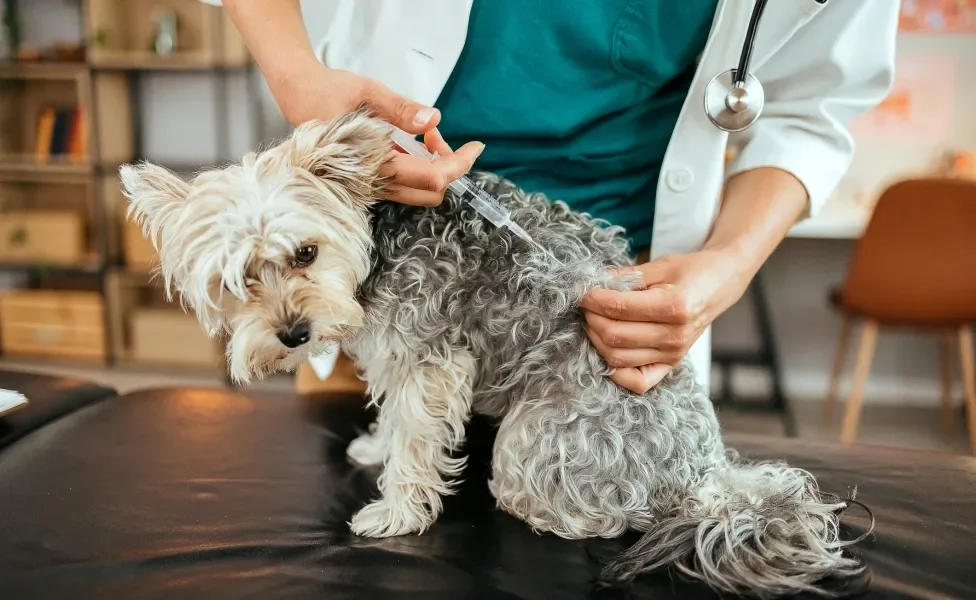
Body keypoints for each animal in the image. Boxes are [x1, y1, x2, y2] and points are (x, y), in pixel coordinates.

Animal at [120, 111, 868, 596]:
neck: (379, 236)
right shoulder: (396, 353)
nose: (294, 335)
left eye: (304, 253)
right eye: (235, 280)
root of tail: (706, 477)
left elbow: (417, 442)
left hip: (532, 445)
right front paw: (373, 446)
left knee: (608, 513)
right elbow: (393, 418)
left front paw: (395, 511)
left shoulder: (433, 359)